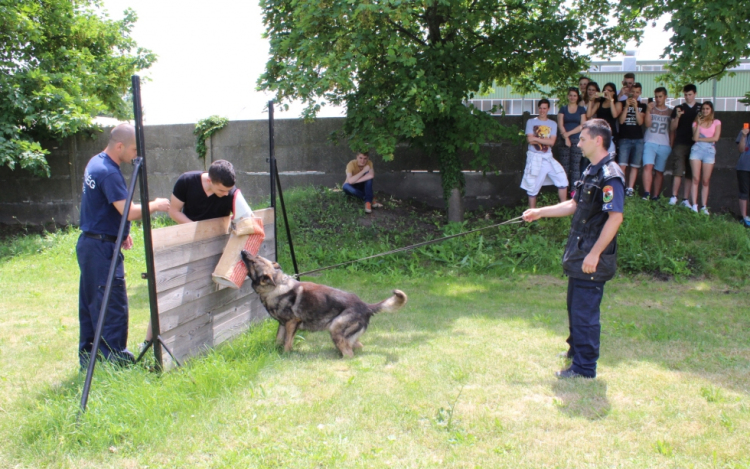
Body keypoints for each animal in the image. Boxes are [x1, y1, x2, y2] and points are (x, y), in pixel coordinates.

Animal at [241, 250, 408, 356]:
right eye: (255, 257)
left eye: (254, 261)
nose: (242, 251)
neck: (275, 286)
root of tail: (366, 306)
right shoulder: (282, 324)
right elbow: (278, 340)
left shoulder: (292, 323)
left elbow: (287, 343)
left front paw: (285, 356)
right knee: (357, 346)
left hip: (335, 329)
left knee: (349, 353)